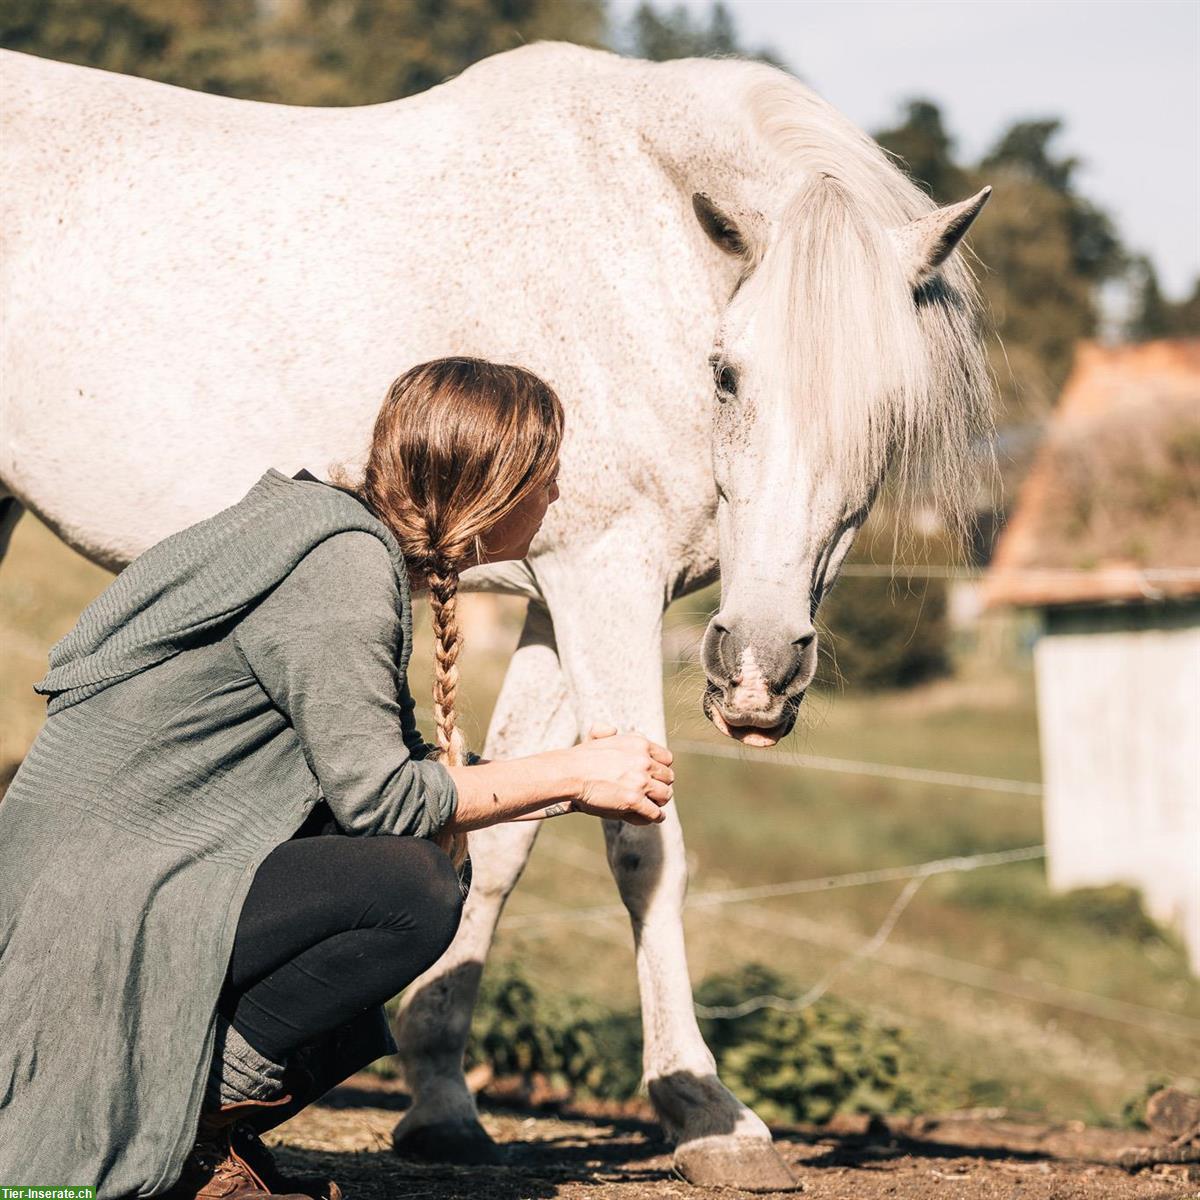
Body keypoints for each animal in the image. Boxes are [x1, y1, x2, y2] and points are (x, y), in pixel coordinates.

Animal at [0, 44, 988, 1190]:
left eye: (888, 412)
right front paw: (706, 1112)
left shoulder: (567, 602)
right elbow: (644, 849)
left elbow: (503, 830)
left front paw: (439, 1099)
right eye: (727, 374)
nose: (757, 669)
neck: (642, 259)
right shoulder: (604, 579)